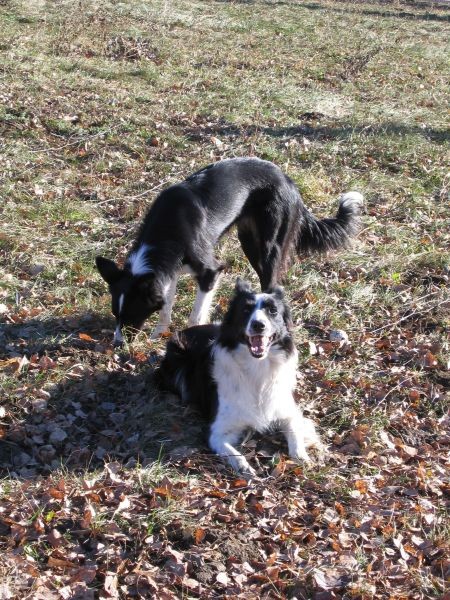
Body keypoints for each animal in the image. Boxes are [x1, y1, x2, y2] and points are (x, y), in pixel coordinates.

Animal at [96, 156, 362, 342]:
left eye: (132, 315)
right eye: (115, 315)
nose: (118, 344)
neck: (166, 231)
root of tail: (289, 181)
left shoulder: (210, 271)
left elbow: (196, 314)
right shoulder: (169, 271)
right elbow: (165, 307)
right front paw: (158, 334)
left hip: (268, 247)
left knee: (273, 285)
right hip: (249, 241)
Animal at [158, 278, 324, 478]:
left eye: (273, 310)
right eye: (245, 310)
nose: (258, 325)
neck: (257, 368)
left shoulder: (286, 410)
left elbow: (294, 430)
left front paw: (301, 456)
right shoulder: (216, 431)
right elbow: (232, 451)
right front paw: (244, 466)